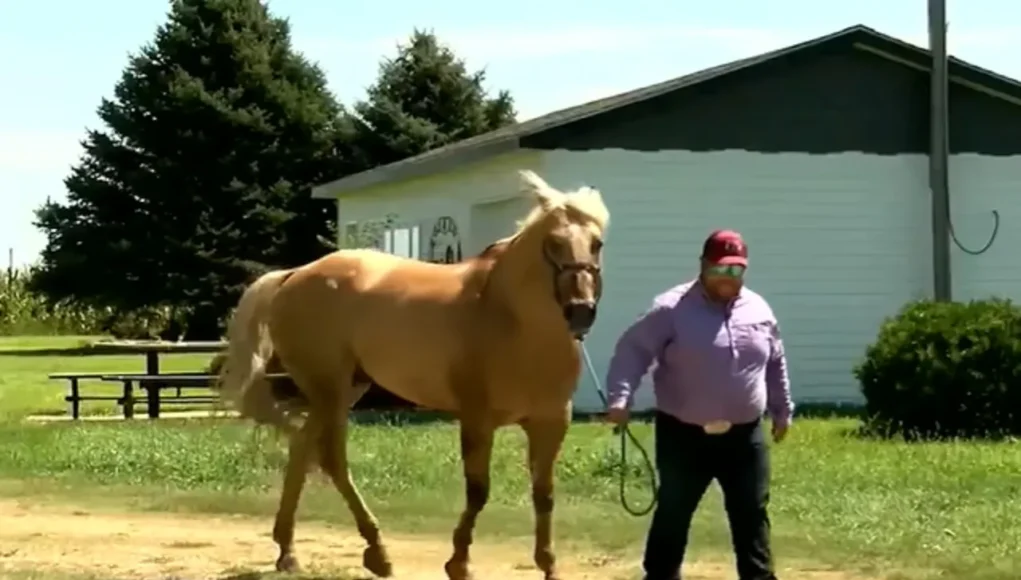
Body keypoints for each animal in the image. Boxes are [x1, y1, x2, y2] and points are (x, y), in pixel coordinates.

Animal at [217, 169, 604, 575]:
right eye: (554, 242)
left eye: (596, 243)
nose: (581, 310)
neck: (513, 321)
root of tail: (293, 275)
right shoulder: (477, 419)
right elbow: (478, 491)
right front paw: (458, 562)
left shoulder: (551, 422)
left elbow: (544, 494)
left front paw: (548, 564)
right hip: (329, 390)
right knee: (332, 460)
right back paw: (377, 552)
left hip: (346, 388)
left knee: (303, 448)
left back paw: (288, 551)